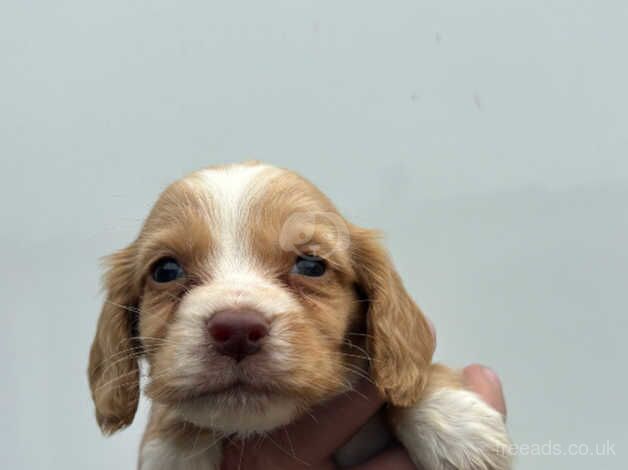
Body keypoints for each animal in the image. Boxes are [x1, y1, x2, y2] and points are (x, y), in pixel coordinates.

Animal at [87, 161, 510, 466]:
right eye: (166, 271)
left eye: (311, 265)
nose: (236, 330)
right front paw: (174, 449)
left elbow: (413, 377)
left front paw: (457, 426)